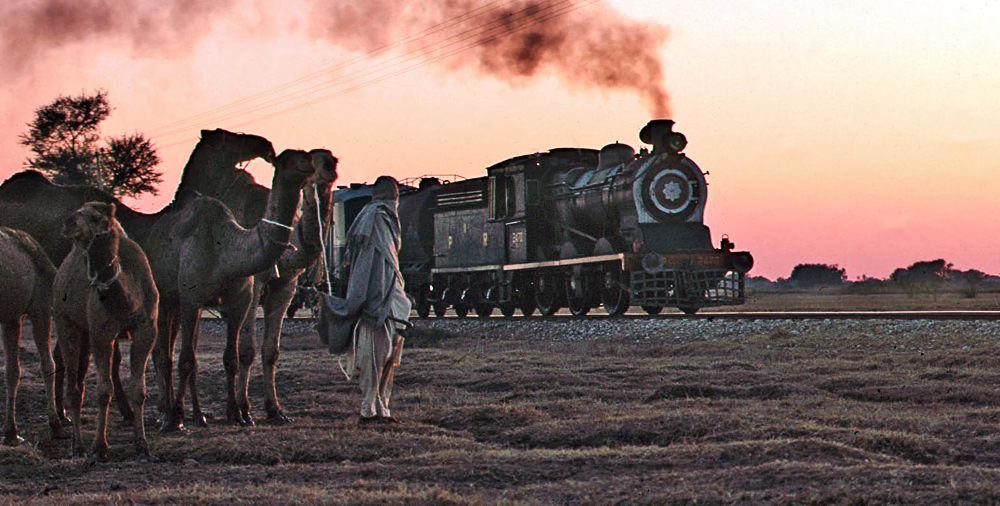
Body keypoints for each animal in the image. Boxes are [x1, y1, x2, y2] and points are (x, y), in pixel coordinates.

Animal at [52, 203, 157, 462]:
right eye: (78, 211)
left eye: (95, 216)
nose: (69, 223)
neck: (127, 299)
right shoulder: (101, 333)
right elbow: (103, 391)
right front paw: (99, 447)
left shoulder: (146, 329)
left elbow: (139, 390)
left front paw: (142, 445)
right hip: (65, 320)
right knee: (73, 386)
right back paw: (78, 446)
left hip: (85, 332)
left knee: (79, 380)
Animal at [145, 147, 314, 430]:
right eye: (288, 160)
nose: (311, 163)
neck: (226, 247)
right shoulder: (192, 298)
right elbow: (190, 358)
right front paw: (176, 417)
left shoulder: (248, 297)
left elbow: (236, 356)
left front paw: (243, 413)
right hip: (159, 299)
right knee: (160, 352)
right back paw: (164, 413)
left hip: (171, 302)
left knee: (168, 352)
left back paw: (194, 414)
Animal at [178, 146, 338, 422]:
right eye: (312, 159)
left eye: (330, 157)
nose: (330, 165)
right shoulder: (251, 284)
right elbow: (247, 350)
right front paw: (244, 408)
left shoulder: (287, 284)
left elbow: (271, 351)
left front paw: (275, 410)